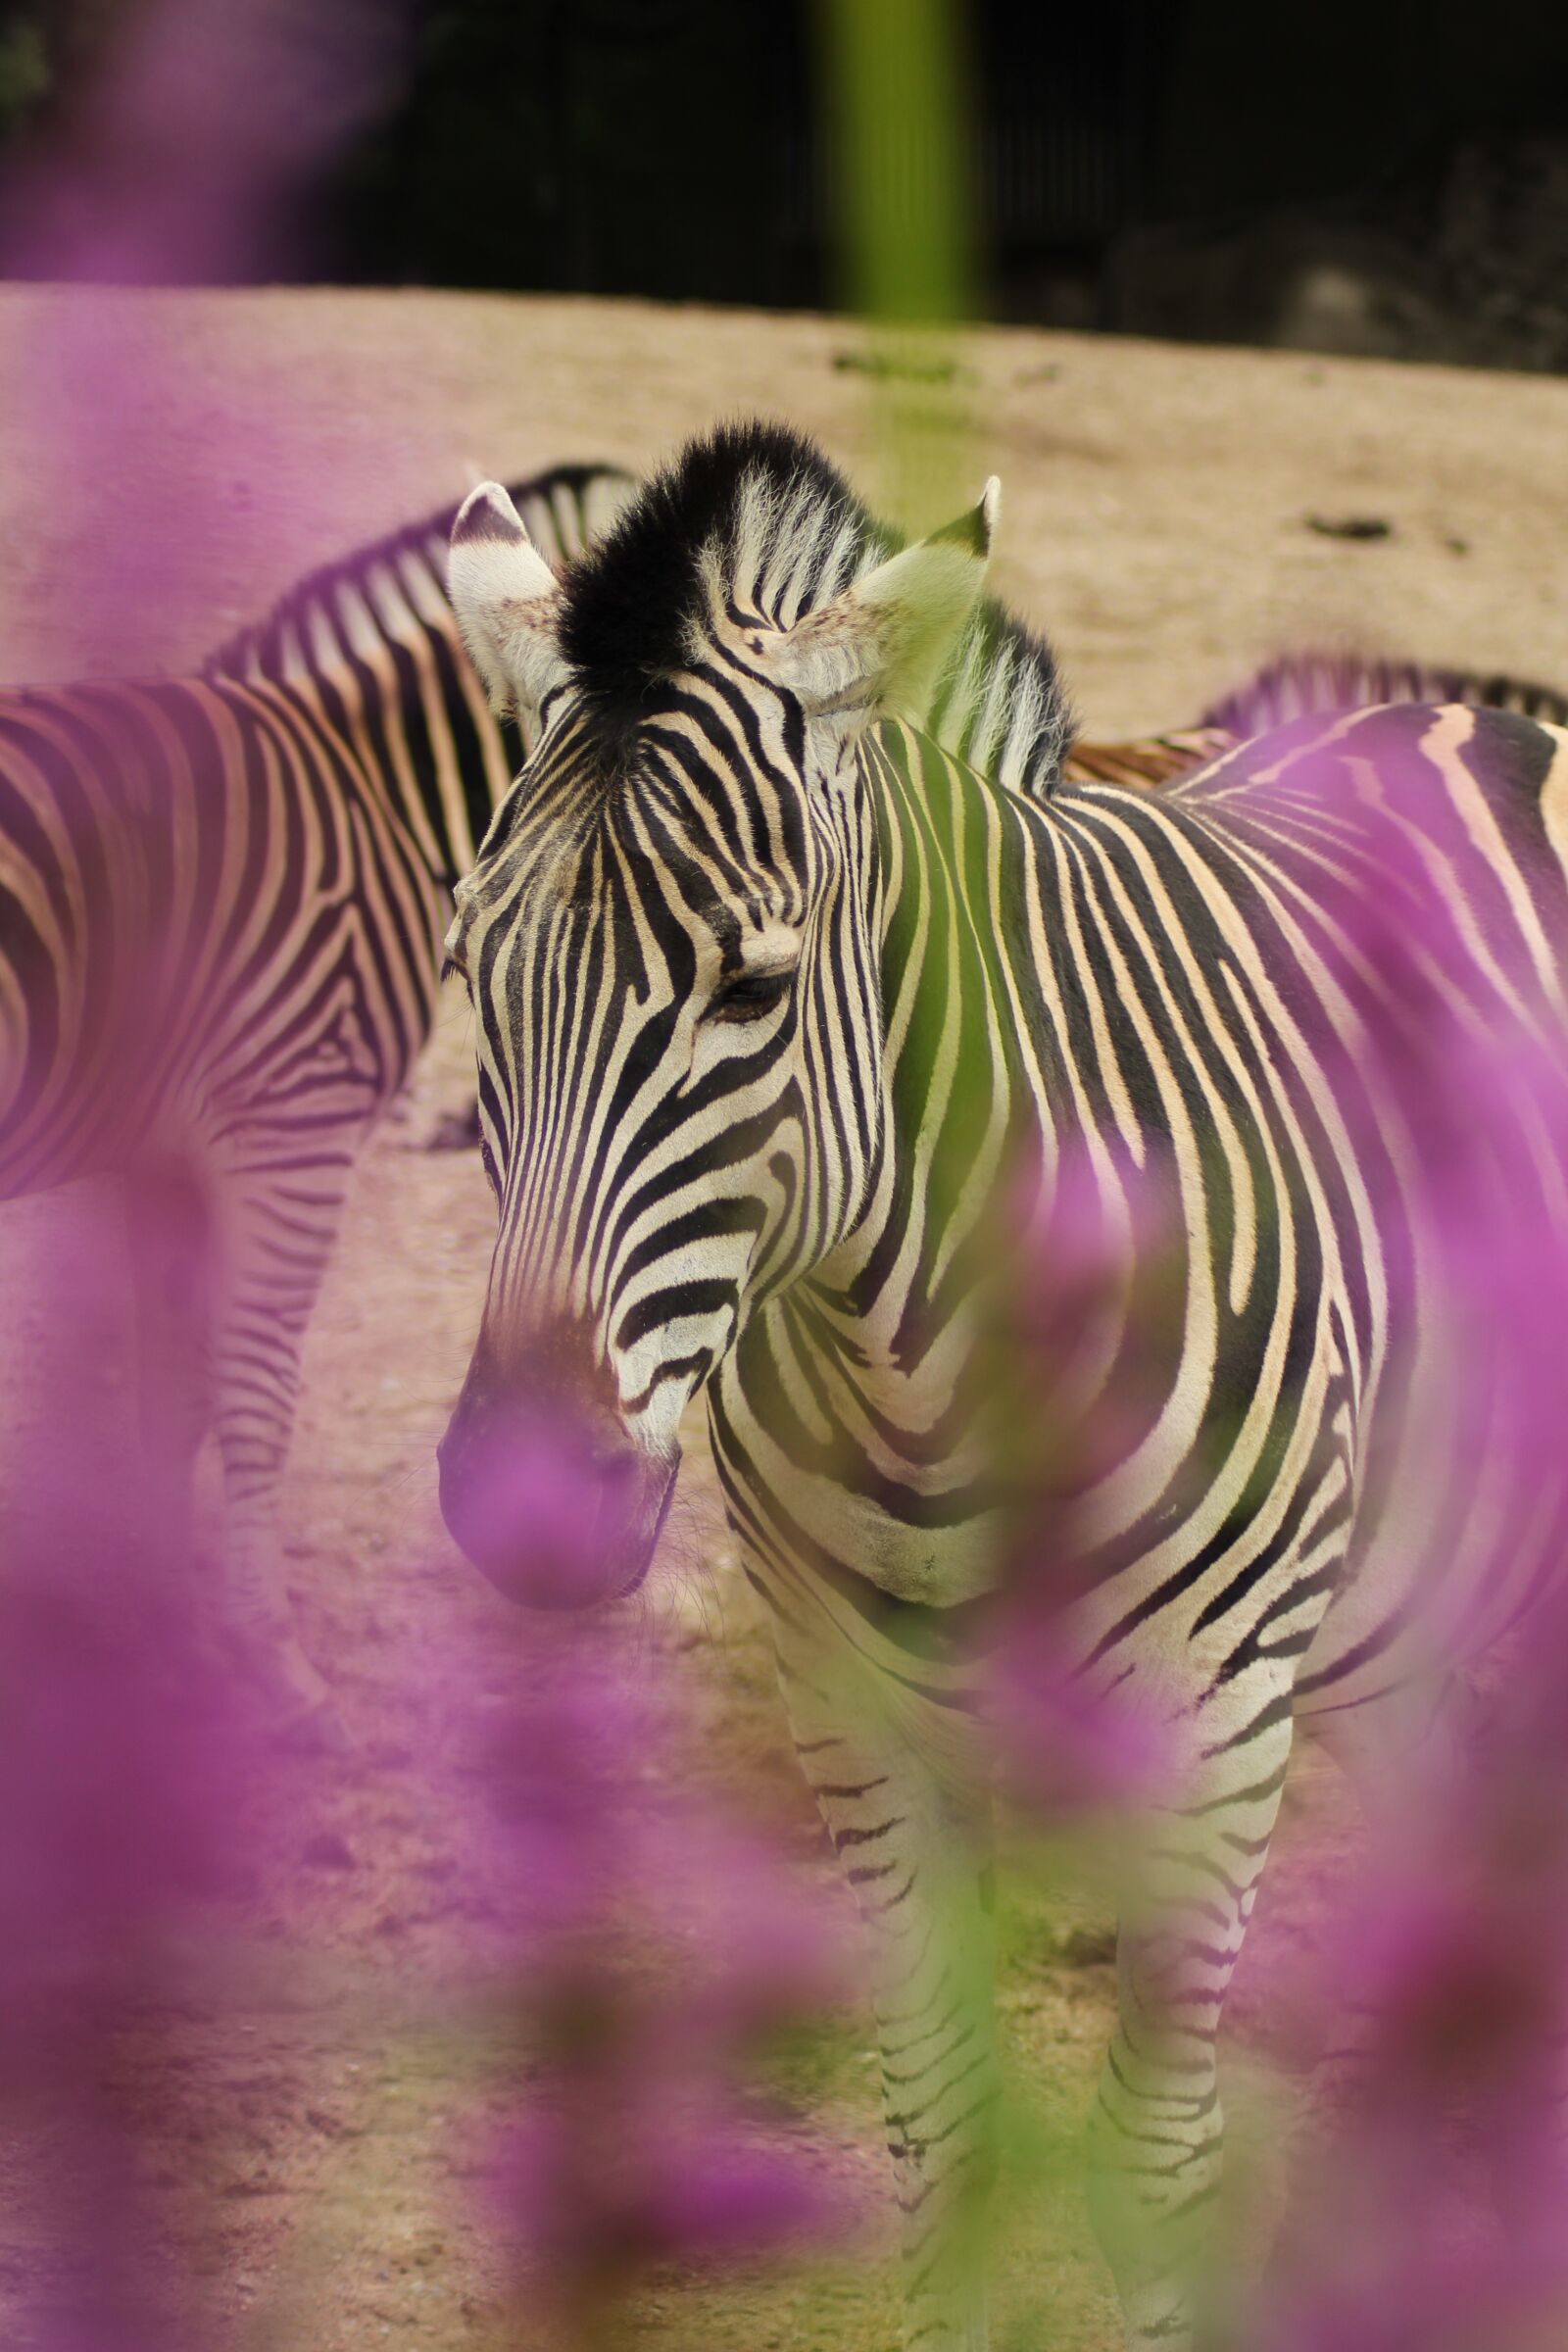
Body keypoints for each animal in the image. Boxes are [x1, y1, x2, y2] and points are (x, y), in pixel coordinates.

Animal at [0, 459, 632, 1734]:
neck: (377, 784)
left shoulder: (164, 1156)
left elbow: (173, 1398)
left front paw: (162, 1629)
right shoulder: (295, 1127)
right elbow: (254, 1392)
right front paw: (269, 1661)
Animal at [435, 420, 1568, 2349]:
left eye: (754, 989)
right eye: (470, 977)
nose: (523, 1502)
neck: (919, 1363)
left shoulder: (1217, 1734)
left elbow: (1152, 2165)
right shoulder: (852, 1719)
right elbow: (943, 2131)